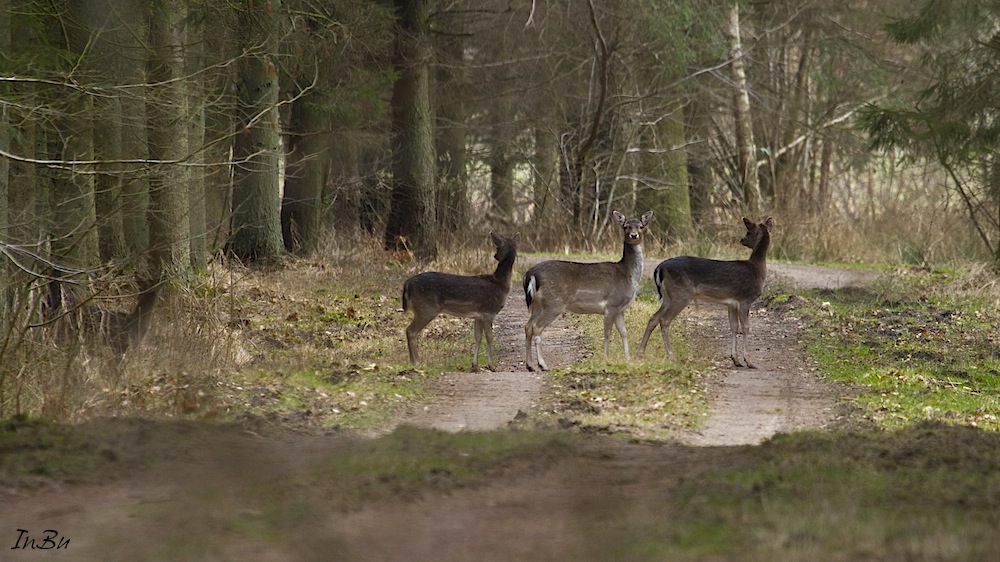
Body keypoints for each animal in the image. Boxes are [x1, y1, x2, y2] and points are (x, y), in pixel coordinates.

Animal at [402, 232, 520, 372]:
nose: (495, 256)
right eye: (497, 247)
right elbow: (490, 337)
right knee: (410, 331)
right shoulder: (488, 312)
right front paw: (492, 366)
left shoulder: (479, 315)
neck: (500, 284)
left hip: (422, 309)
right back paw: (416, 362)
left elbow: (478, 337)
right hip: (426, 308)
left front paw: (474, 365)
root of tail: (407, 284)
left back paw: (414, 361)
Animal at [524, 208, 656, 370]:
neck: (628, 275)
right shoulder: (611, 304)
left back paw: (530, 365)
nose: (634, 235)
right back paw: (542, 364)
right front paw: (606, 358)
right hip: (553, 303)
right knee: (536, 328)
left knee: (528, 326)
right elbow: (608, 333)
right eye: (626, 226)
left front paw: (628, 359)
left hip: (537, 305)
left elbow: (624, 332)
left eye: (641, 226)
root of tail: (531, 274)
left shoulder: (620, 308)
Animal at [636, 215, 776, 368]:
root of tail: (659, 269)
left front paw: (736, 360)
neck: (757, 269)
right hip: (681, 294)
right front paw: (749, 361)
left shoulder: (732, 303)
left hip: (668, 297)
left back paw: (640, 352)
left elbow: (734, 327)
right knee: (664, 320)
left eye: (748, 232)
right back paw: (672, 356)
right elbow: (745, 327)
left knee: (653, 318)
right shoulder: (745, 299)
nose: (742, 240)